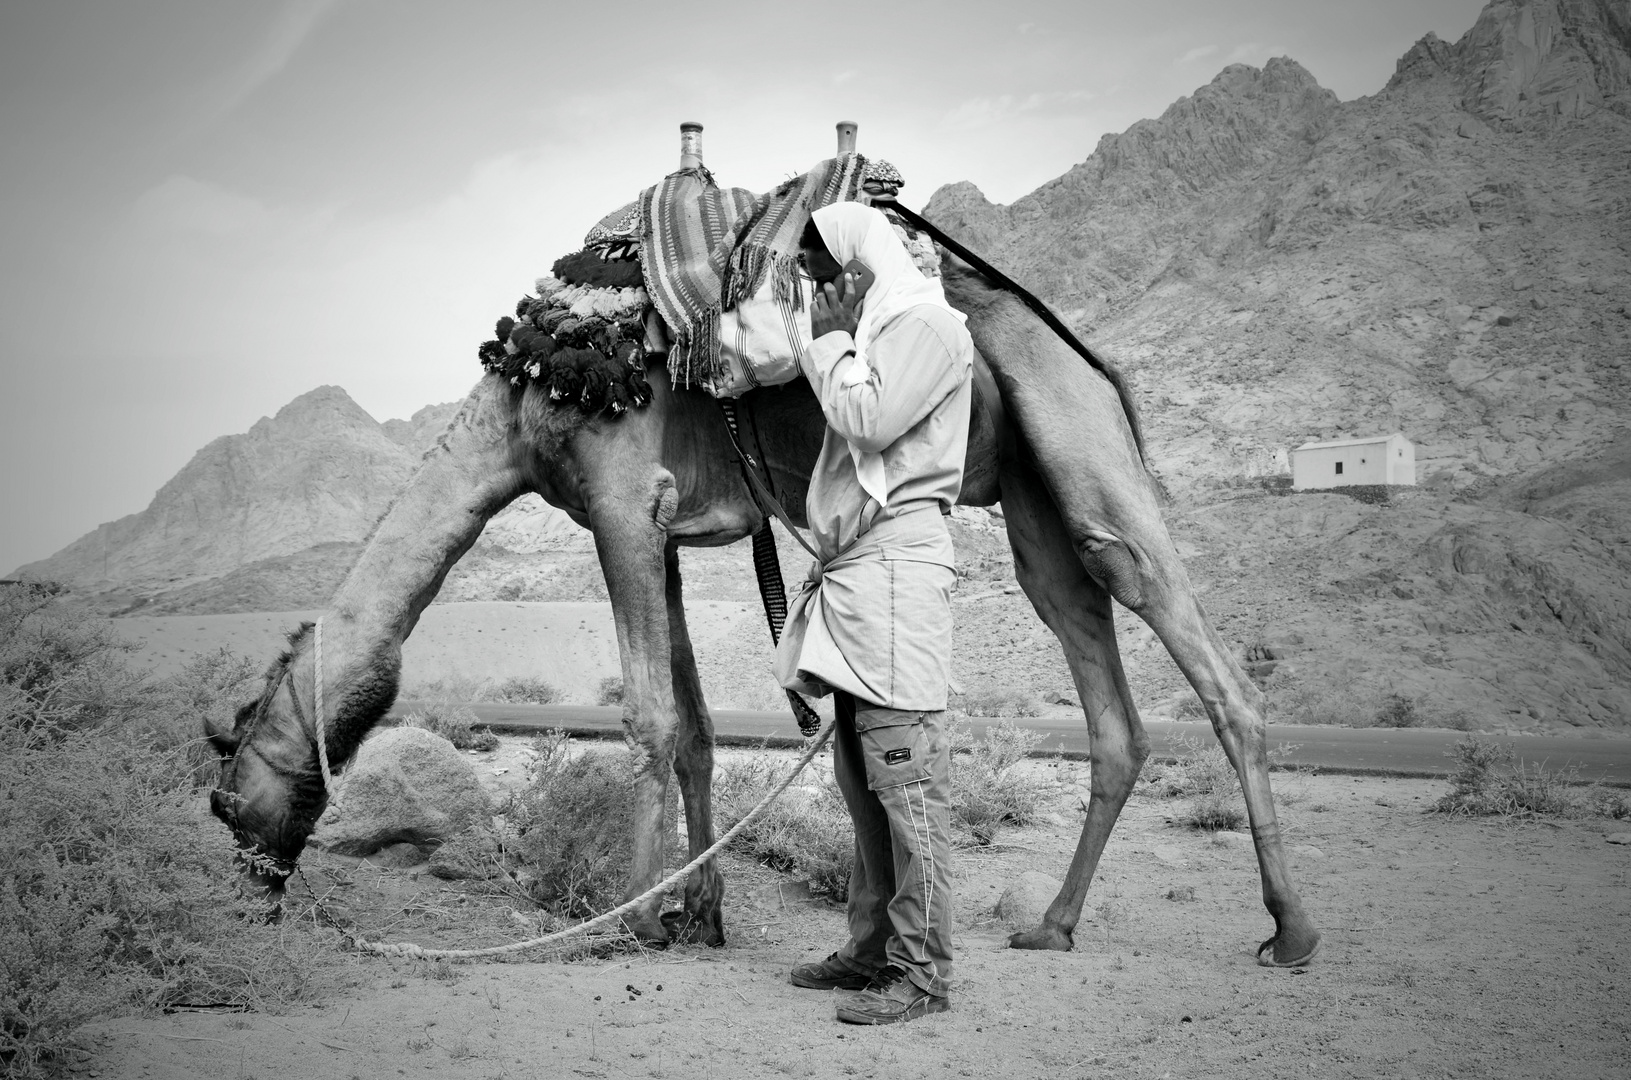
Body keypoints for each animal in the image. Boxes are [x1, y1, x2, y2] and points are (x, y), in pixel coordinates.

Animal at [207, 205, 1324, 972]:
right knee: (1096, 674)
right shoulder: (654, 529)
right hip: (1032, 497)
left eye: (225, 799)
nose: (253, 902)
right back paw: (1051, 925)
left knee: (1204, 660)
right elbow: (696, 728)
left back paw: (1291, 930)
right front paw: (696, 914)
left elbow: (650, 717)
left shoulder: (620, 498)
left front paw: (620, 919)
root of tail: (1082, 353)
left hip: (1083, 457)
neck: (525, 396)